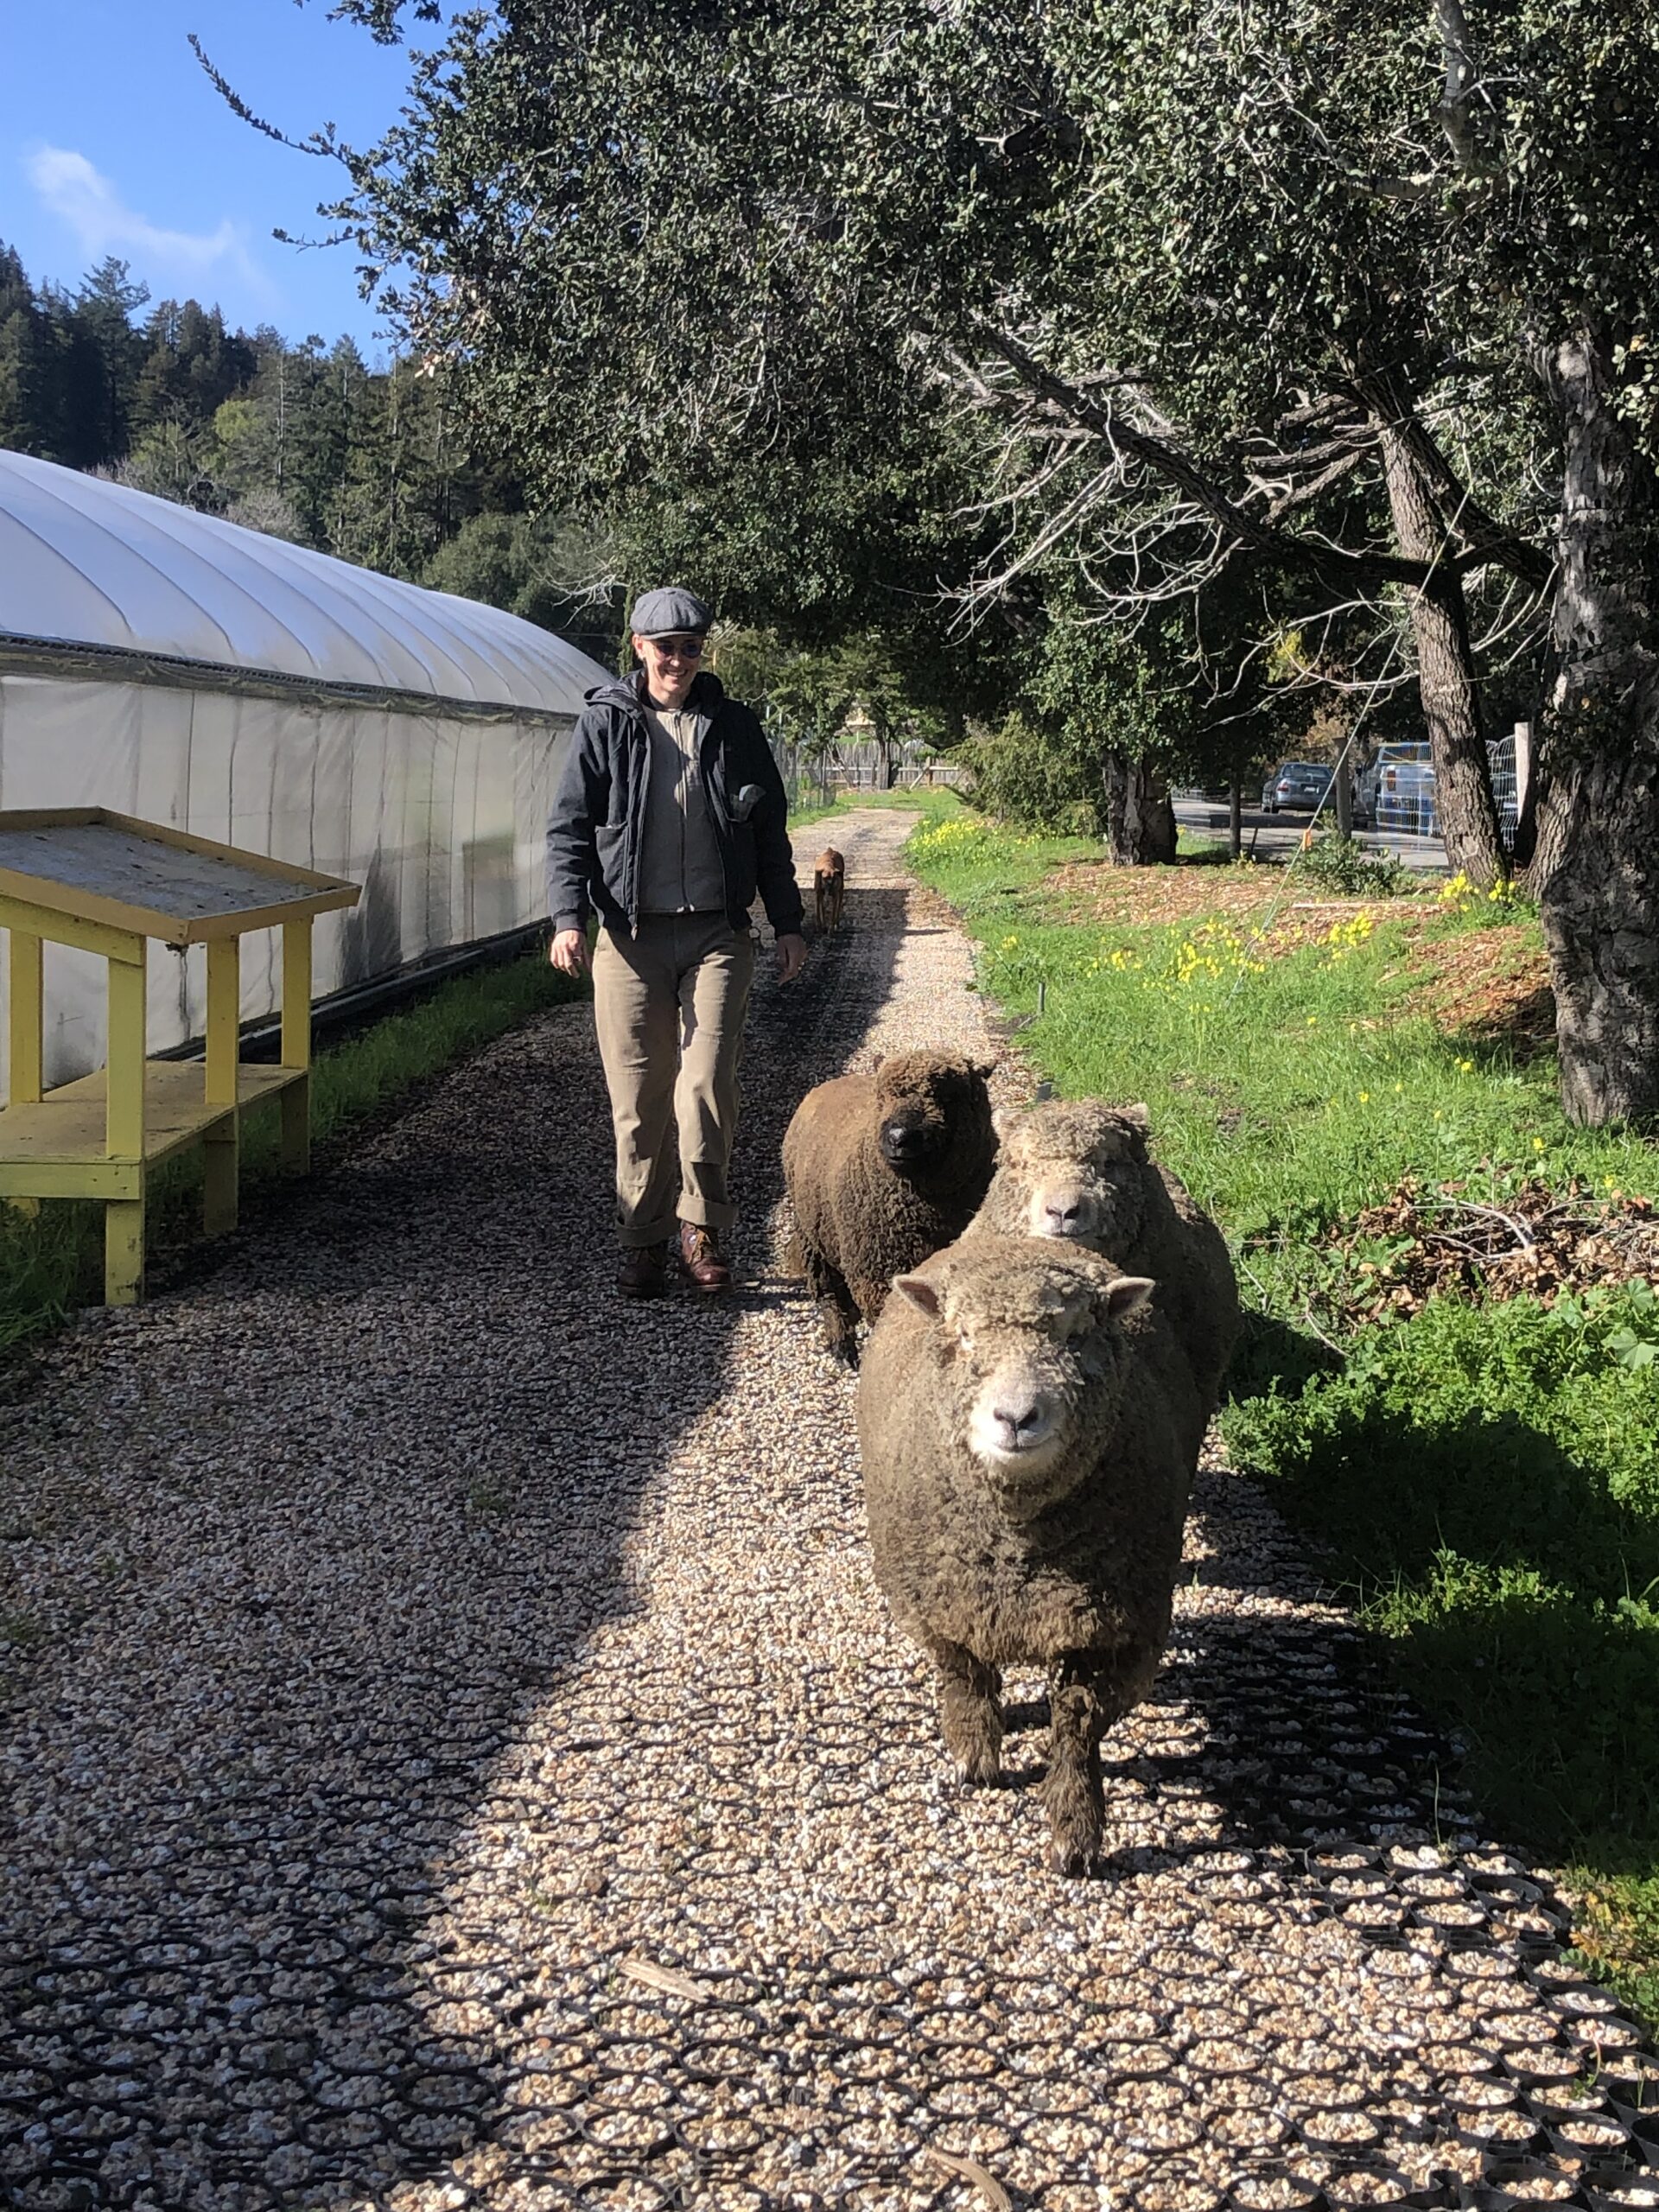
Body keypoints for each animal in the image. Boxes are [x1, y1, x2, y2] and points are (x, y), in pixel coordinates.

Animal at [783, 1052, 995, 1362]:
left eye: (947, 1096)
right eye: (882, 1097)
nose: (898, 1137)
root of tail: (825, 1085)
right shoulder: (877, 1276)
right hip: (812, 1238)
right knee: (828, 1294)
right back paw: (842, 1343)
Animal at [858, 1238, 1211, 1875]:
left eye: (1075, 1337)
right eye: (964, 1335)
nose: (1016, 1418)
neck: (1017, 1549)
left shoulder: (1114, 1629)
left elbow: (1077, 1724)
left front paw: (1075, 1829)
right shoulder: (942, 1606)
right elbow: (966, 1678)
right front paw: (975, 1755)